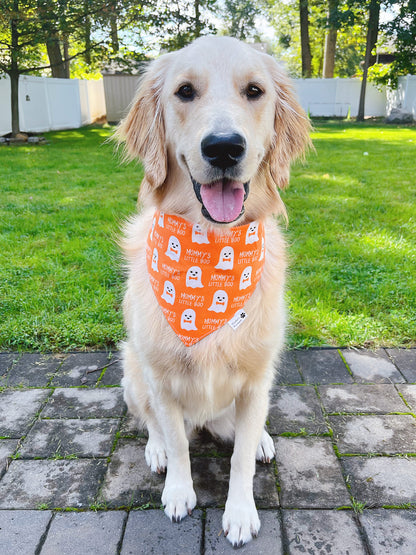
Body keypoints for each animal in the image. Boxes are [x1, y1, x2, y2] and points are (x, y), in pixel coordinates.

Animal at [115, 35, 310, 548]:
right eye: (184, 91)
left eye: (255, 91)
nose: (224, 148)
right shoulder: (161, 377)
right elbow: (178, 442)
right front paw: (179, 491)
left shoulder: (257, 379)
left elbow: (240, 457)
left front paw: (240, 512)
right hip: (132, 371)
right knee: (153, 422)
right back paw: (156, 450)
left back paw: (261, 440)